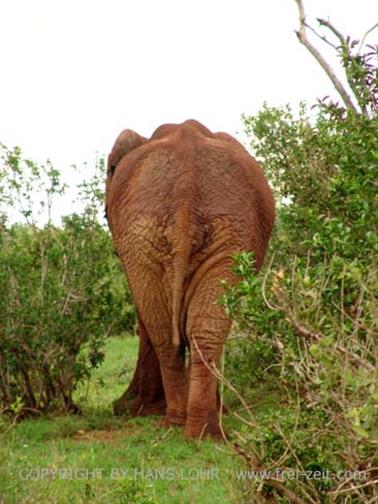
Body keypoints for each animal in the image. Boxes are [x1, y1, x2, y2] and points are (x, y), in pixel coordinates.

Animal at [106, 120, 274, 440]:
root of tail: (186, 194)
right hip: (198, 232)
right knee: (190, 330)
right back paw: (195, 429)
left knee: (175, 329)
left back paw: (188, 426)